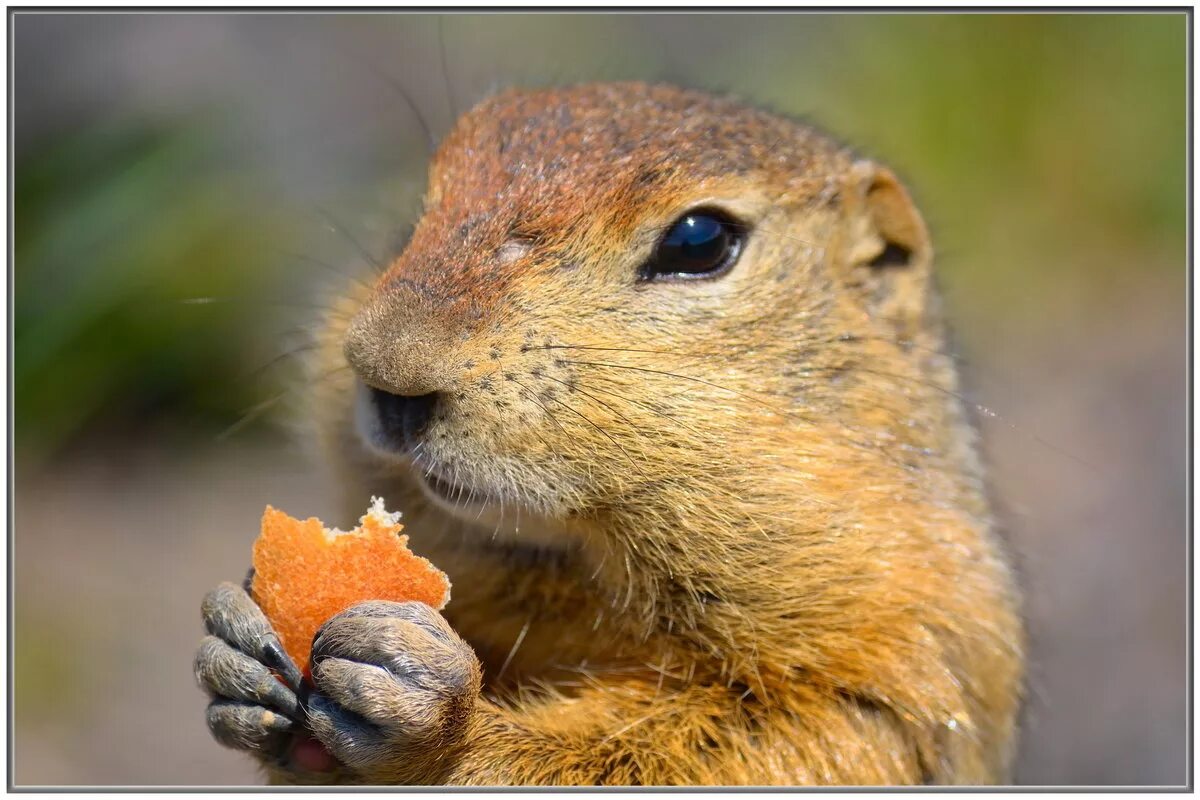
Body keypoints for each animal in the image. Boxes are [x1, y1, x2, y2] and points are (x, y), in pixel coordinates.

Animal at [194, 82, 1022, 786]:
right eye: (420, 211)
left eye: (698, 241)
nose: (385, 370)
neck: (577, 568)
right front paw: (236, 635)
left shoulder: (903, 654)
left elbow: (767, 745)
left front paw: (428, 708)